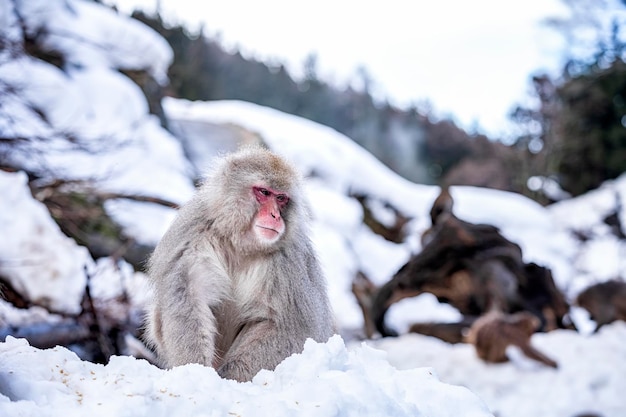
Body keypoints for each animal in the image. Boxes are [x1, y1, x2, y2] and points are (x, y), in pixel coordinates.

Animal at [143, 145, 334, 380]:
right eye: (264, 192)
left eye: (281, 198)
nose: (275, 216)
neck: (240, 243)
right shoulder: (192, 238)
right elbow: (188, 299)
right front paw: (197, 371)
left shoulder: (289, 262)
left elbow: (287, 325)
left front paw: (229, 377)